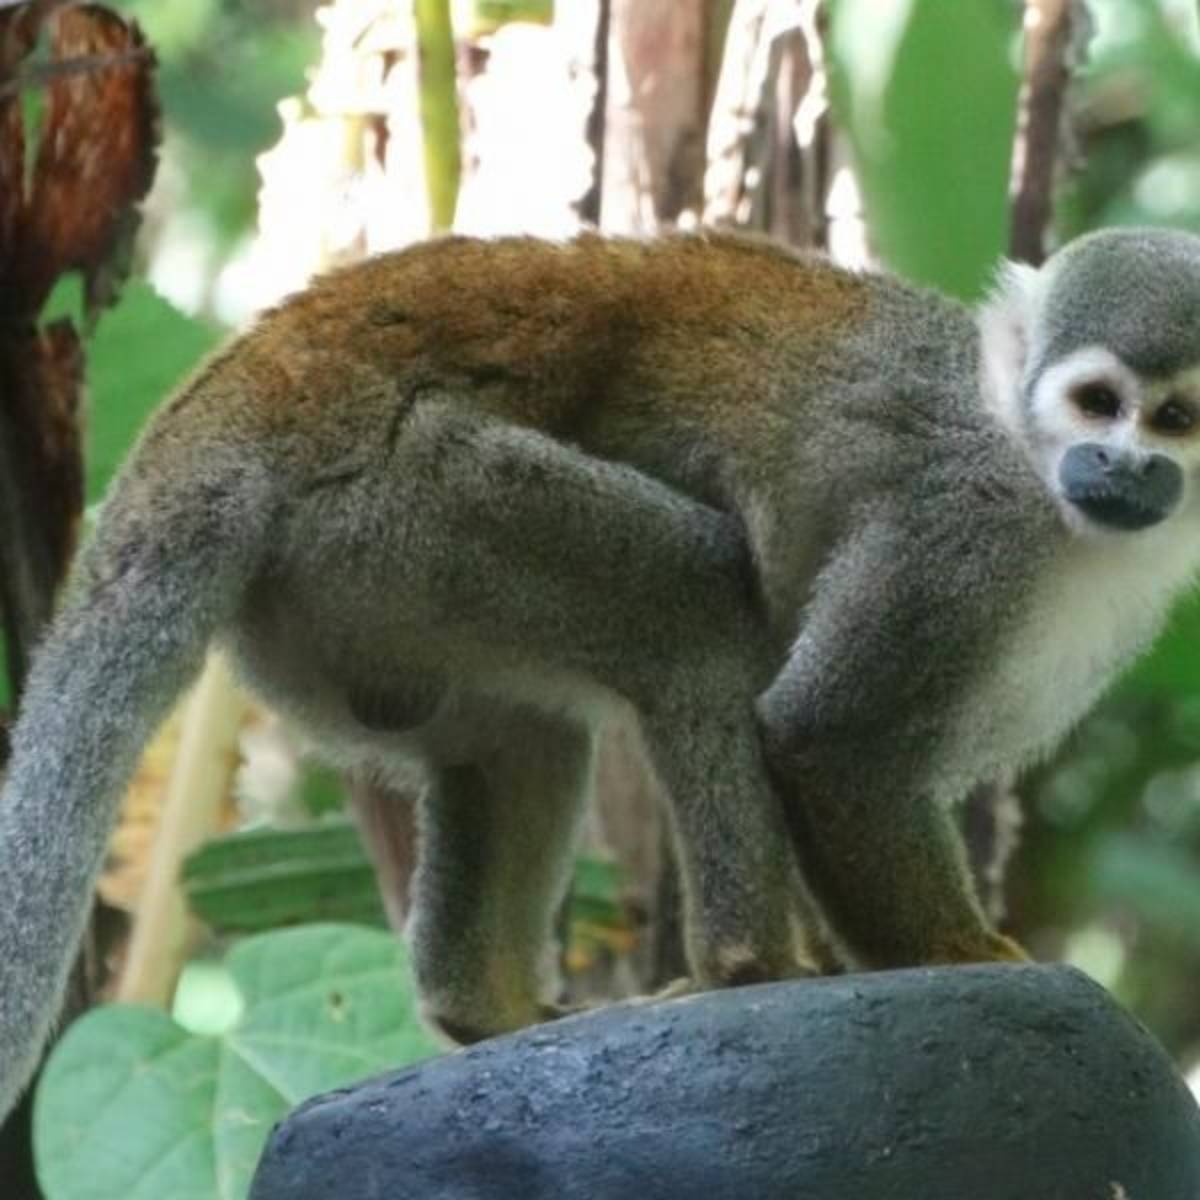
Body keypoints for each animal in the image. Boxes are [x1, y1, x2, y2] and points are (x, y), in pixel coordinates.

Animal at [4, 224, 1200, 1119]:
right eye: (1099, 404)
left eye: (1178, 418)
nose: (1125, 466)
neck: (1040, 483)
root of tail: (257, 376)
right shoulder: (959, 534)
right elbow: (828, 740)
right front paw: (966, 951)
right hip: (404, 494)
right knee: (696, 604)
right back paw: (745, 967)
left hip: (347, 593)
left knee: (515, 735)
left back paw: (486, 1008)